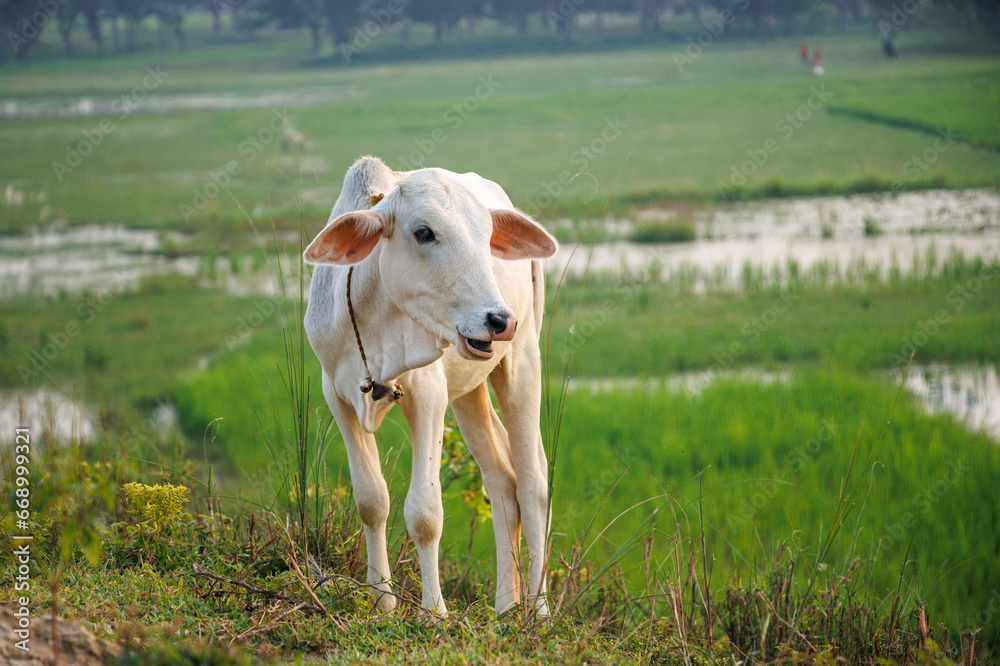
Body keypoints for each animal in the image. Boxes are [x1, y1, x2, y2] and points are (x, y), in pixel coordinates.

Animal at [303, 155, 558, 617]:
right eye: (424, 232)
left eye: (487, 236)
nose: (499, 320)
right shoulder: (338, 394)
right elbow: (372, 501)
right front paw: (382, 600)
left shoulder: (427, 395)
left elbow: (424, 513)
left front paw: (434, 611)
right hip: (470, 391)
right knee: (502, 481)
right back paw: (505, 607)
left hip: (522, 361)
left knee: (533, 484)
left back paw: (539, 611)